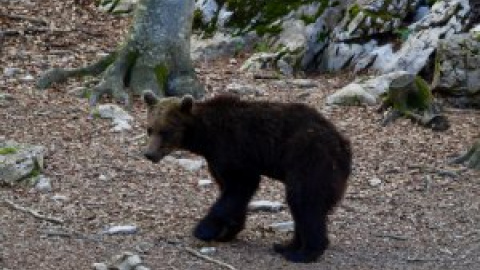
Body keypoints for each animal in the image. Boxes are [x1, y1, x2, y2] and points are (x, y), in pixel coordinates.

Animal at [143, 93, 352, 264]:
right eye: (150, 129)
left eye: (165, 131)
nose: (149, 154)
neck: (205, 137)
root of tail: (342, 144)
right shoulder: (217, 159)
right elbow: (231, 191)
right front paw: (228, 231)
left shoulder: (233, 148)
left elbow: (240, 185)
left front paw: (204, 229)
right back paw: (287, 245)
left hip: (308, 158)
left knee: (304, 200)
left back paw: (303, 252)